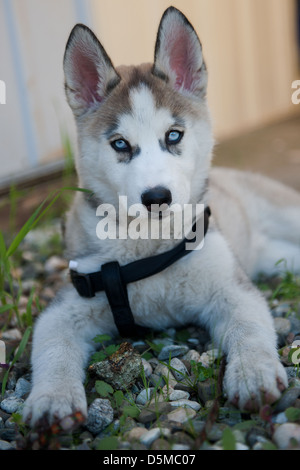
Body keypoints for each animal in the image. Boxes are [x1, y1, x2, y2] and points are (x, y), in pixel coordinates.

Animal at [23, 6, 300, 426]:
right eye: (120, 144)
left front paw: (253, 373)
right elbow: (52, 348)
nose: (156, 198)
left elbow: (249, 327)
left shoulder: (231, 288)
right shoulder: (67, 305)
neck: (150, 248)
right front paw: (53, 398)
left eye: (173, 136)